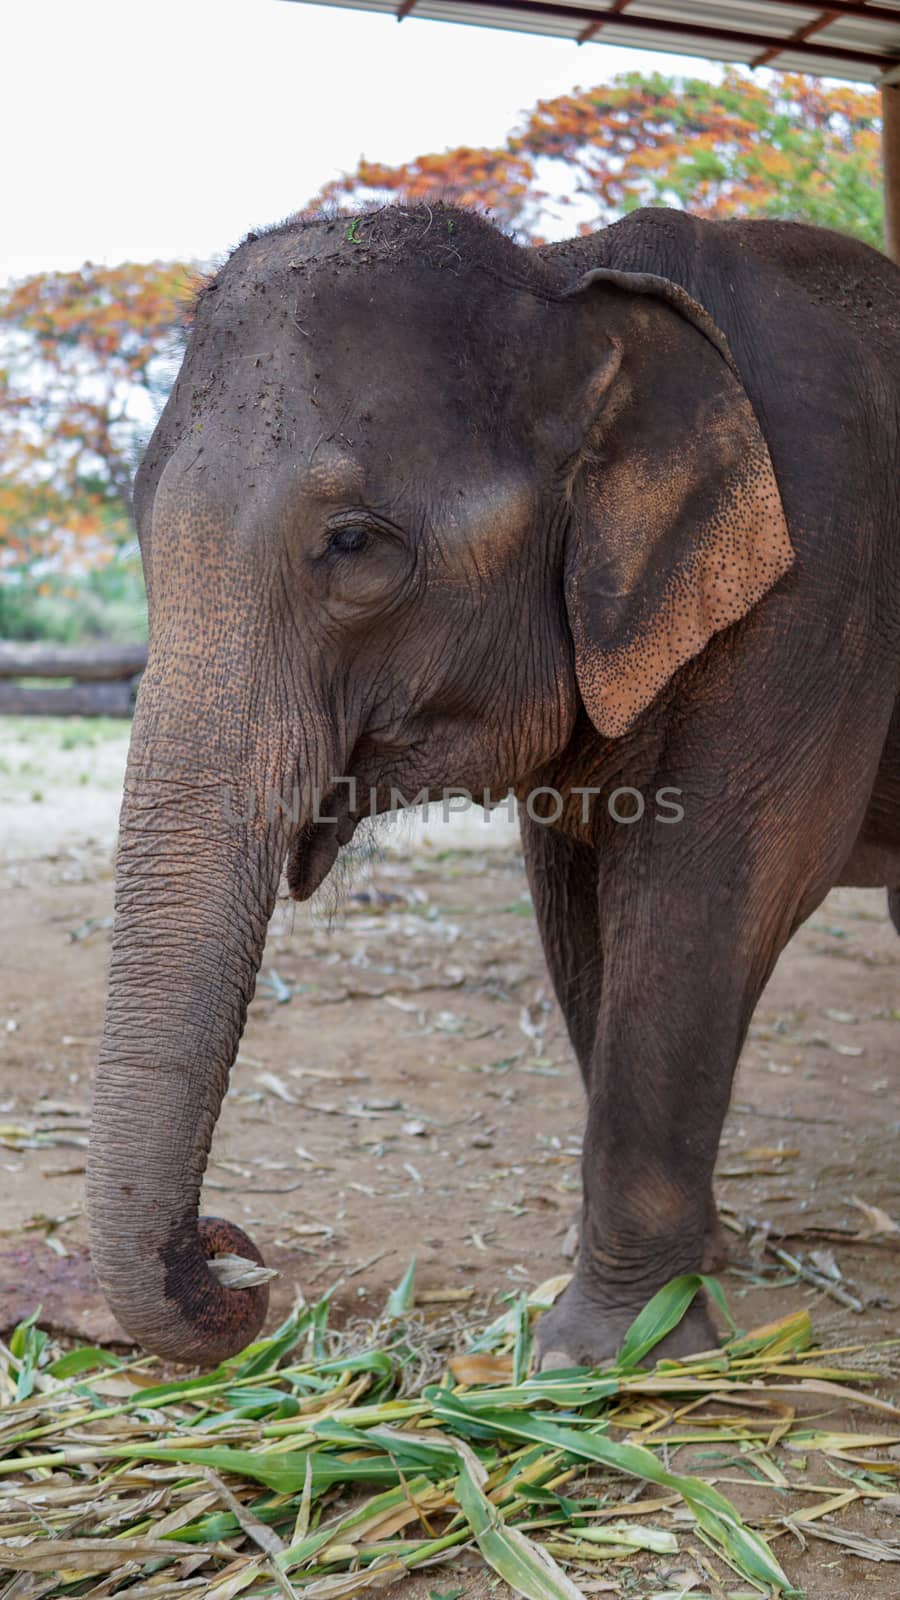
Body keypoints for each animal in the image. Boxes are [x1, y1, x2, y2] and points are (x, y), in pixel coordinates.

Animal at [85, 206, 896, 1369]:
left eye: (352, 543)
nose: (238, 1261)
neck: (565, 277)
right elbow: (574, 911)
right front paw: (694, 1276)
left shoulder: (820, 579)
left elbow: (716, 894)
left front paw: (600, 1357)